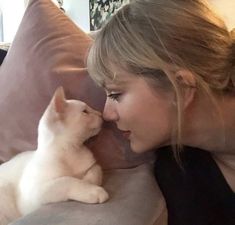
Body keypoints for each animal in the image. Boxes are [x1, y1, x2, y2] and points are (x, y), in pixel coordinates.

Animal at [0, 87, 109, 224]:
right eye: (85, 111)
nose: (101, 114)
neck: (70, 150)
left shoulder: (94, 165)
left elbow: (95, 171)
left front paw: (88, 182)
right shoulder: (32, 195)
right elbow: (65, 181)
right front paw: (92, 190)